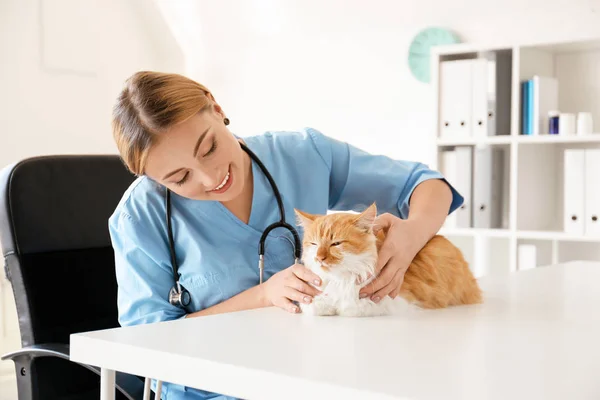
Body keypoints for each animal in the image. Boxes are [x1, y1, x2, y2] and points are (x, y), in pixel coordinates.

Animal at [296, 205, 482, 318]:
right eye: (314, 244)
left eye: (336, 243)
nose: (319, 257)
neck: (340, 279)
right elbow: (314, 304)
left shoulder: (396, 301)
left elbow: (350, 307)